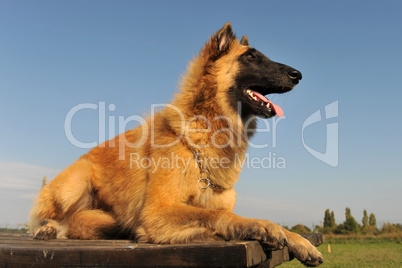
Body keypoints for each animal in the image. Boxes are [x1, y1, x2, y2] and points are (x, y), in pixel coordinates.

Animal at [29, 22, 322, 266]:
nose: (298, 75)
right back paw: (47, 228)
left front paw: (299, 241)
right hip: (74, 182)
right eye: (250, 57)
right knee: (51, 219)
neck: (204, 132)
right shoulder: (160, 210)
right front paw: (259, 226)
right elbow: (220, 216)